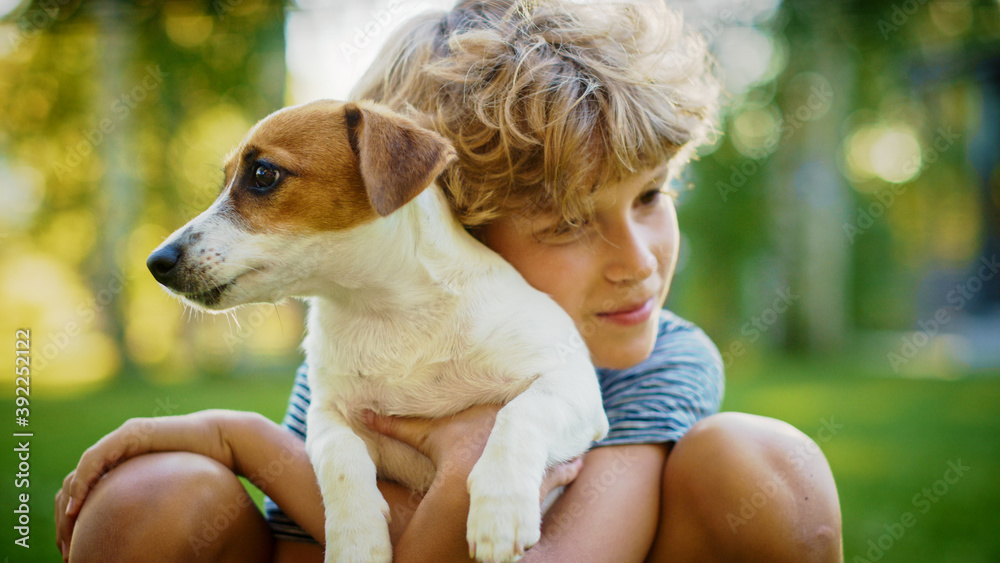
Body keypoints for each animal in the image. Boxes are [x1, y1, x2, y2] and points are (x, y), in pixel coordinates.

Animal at [145, 101, 604, 563]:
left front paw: (501, 507)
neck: (386, 312)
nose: (155, 263)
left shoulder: (572, 383)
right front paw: (356, 539)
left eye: (262, 174)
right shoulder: (325, 414)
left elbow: (520, 413)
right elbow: (341, 459)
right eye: (225, 179)